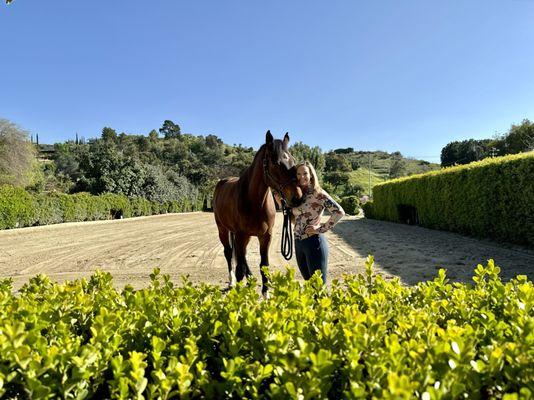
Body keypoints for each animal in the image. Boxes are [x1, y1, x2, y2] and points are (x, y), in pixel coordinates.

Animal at [215, 130, 306, 294]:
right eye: (276, 163)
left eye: (293, 160)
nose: (297, 198)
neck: (254, 202)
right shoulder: (241, 235)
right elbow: (239, 267)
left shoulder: (265, 236)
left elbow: (264, 265)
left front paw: (266, 294)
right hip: (223, 229)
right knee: (229, 253)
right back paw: (232, 282)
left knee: (242, 256)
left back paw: (250, 278)